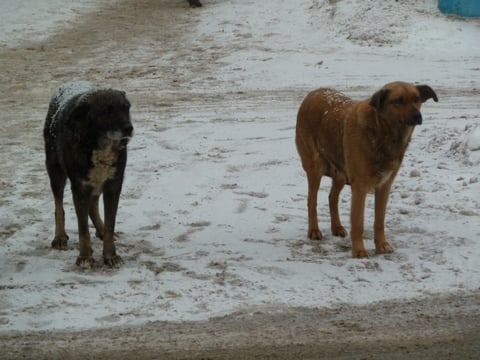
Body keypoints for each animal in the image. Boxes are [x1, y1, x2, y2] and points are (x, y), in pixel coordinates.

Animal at [44, 81, 133, 268]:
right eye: (107, 111)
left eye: (126, 107)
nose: (129, 128)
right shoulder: (79, 188)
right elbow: (82, 228)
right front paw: (85, 257)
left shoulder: (113, 185)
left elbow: (110, 225)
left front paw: (110, 255)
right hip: (56, 173)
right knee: (58, 206)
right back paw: (59, 236)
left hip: (97, 182)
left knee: (92, 206)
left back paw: (100, 229)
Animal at [294, 81, 436, 258]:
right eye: (398, 101)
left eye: (417, 99)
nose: (418, 116)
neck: (383, 132)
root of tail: (313, 93)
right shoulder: (360, 187)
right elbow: (358, 222)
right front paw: (359, 250)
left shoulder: (384, 185)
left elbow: (379, 221)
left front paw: (381, 245)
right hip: (315, 168)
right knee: (311, 201)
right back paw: (314, 230)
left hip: (340, 174)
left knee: (332, 197)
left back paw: (337, 227)